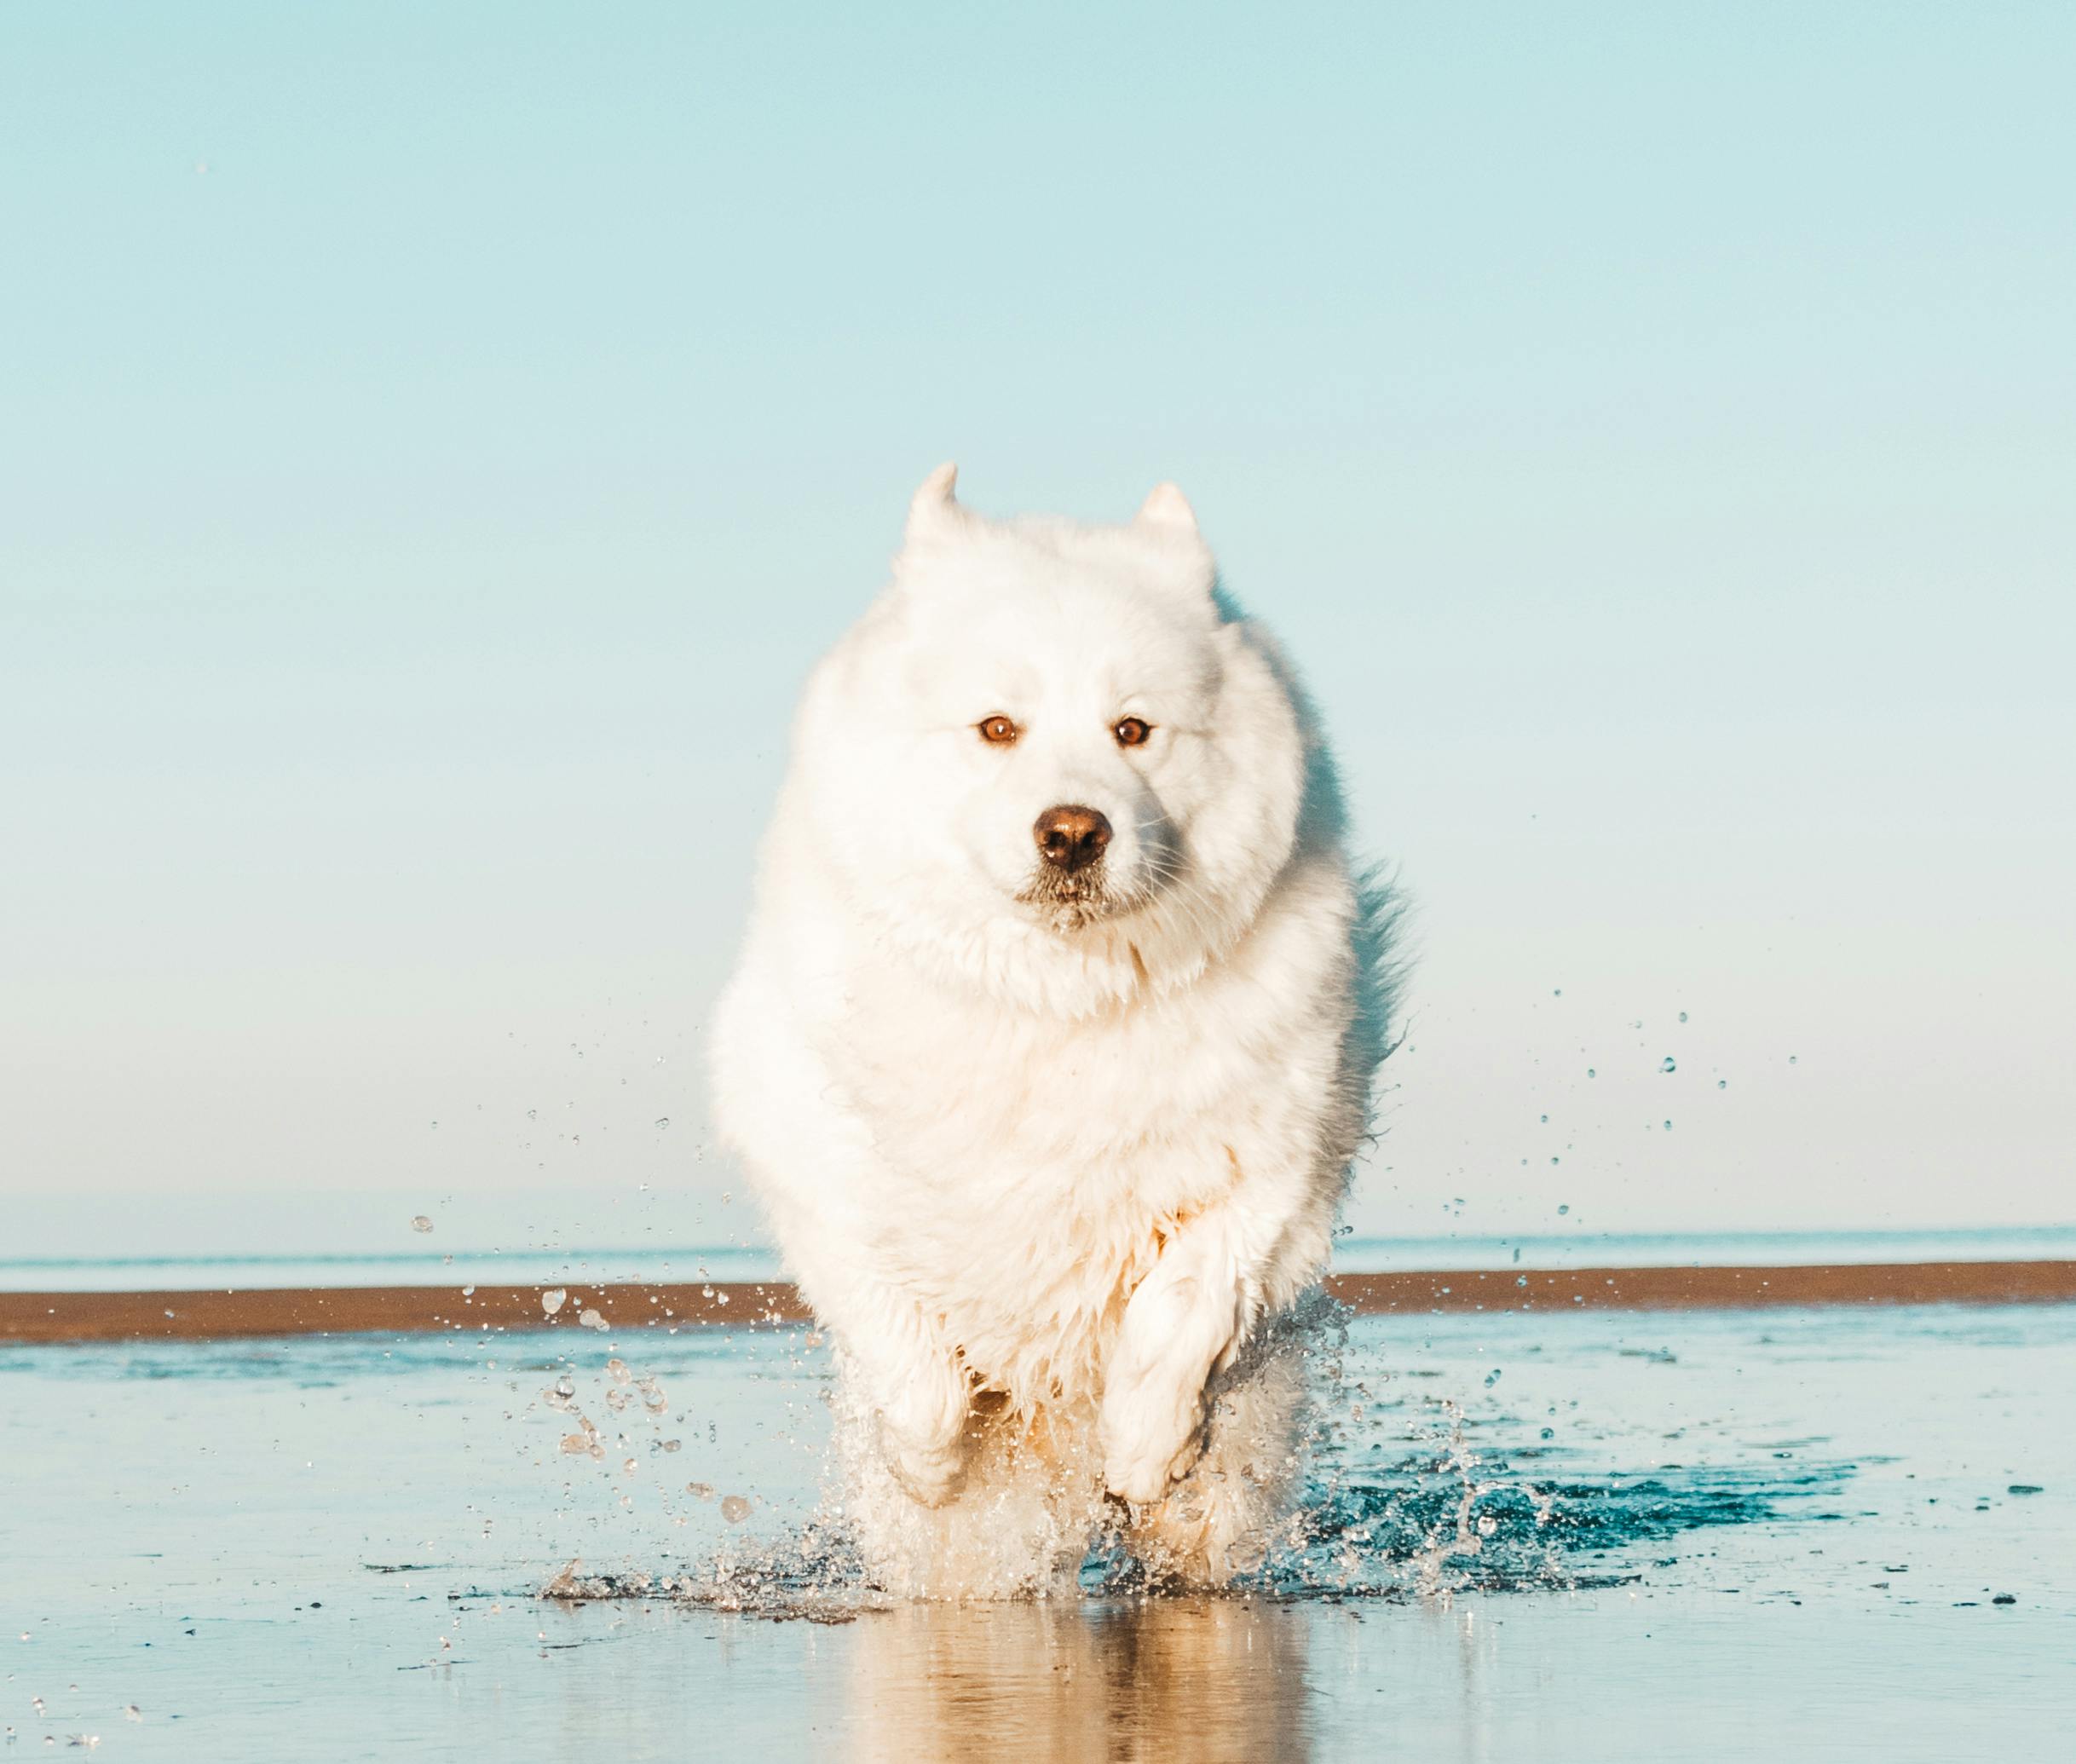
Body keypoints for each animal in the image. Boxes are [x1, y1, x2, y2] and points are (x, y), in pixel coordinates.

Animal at [706, 466, 1403, 1594]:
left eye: (1134, 730)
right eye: (999, 728)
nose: (1074, 833)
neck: (1061, 1005)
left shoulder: (1273, 1157)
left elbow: (1185, 1301)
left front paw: (1147, 1444)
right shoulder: (807, 1135)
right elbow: (898, 1332)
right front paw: (930, 1460)